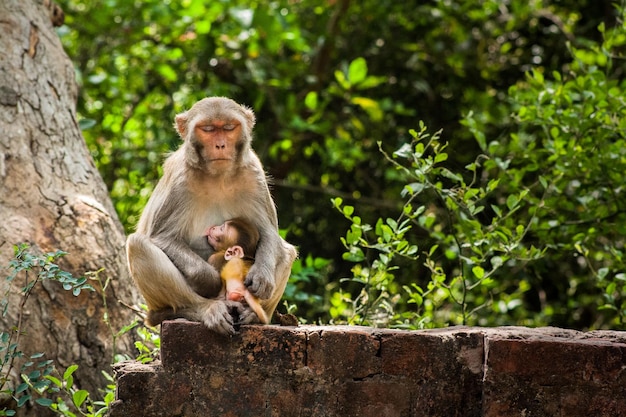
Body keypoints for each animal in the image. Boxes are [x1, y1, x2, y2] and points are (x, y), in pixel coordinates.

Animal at [125, 96, 296, 334]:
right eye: (207, 129)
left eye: (229, 127)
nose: (220, 145)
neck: (218, 177)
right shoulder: (180, 180)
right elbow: (161, 236)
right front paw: (210, 280)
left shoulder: (254, 174)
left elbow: (268, 232)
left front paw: (261, 277)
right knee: (138, 245)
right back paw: (200, 309)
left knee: (286, 250)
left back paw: (254, 314)